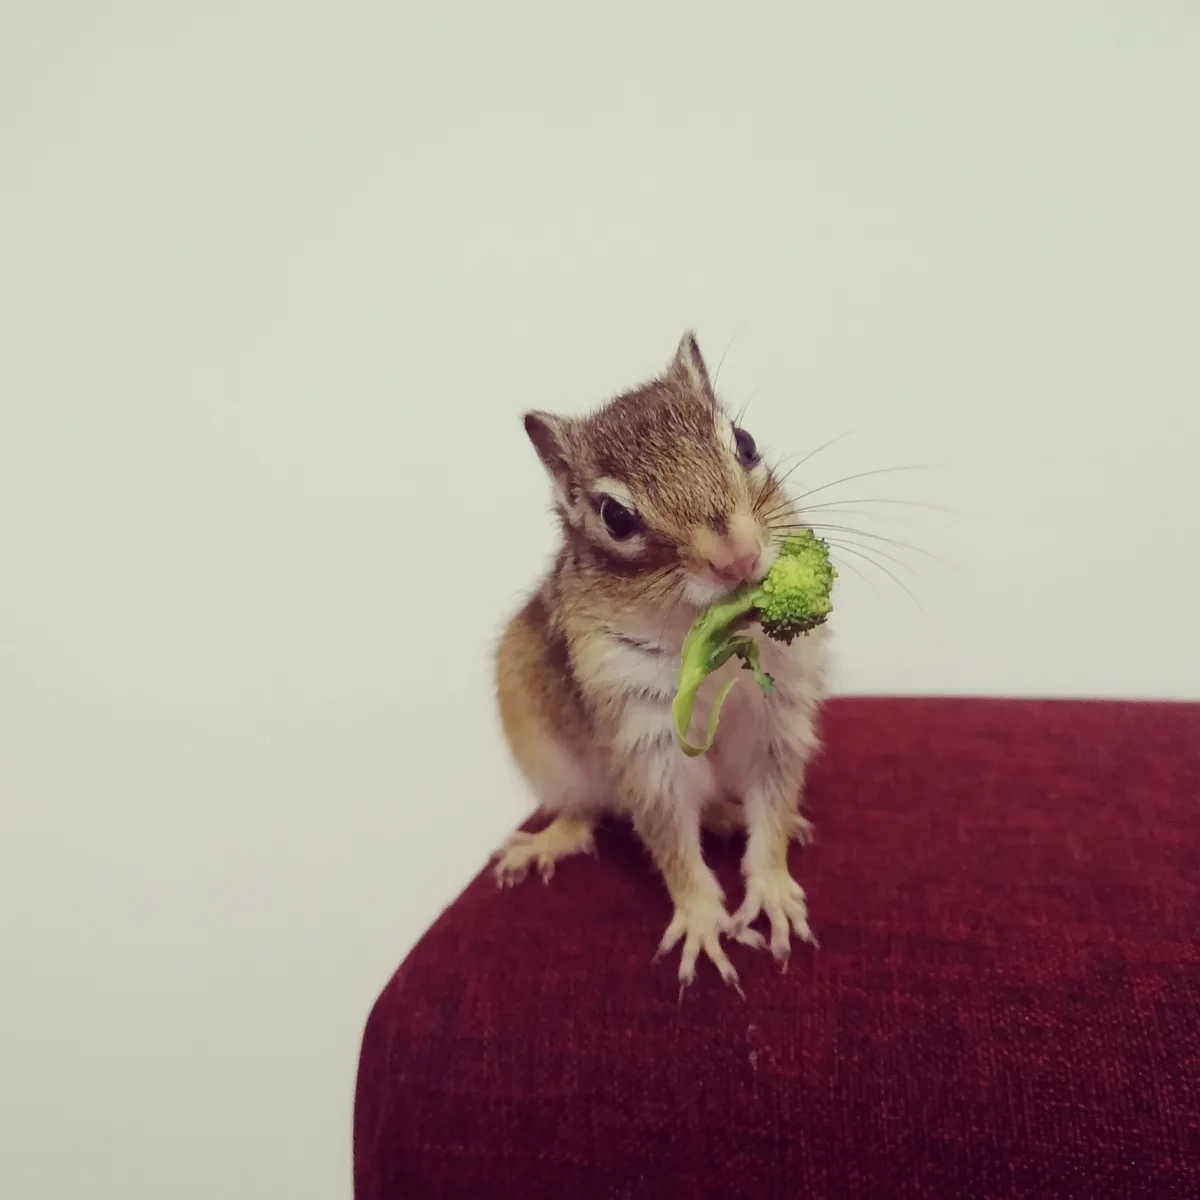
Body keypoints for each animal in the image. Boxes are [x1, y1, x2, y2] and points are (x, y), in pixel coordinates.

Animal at [493, 332, 827, 990]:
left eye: (745, 443)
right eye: (616, 517)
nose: (737, 557)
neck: (715, 641)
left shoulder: (778, 718)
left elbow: (772, 810)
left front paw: (773, 890)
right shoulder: (643, 736)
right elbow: (670, 838)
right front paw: (701, 921)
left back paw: (729, 815)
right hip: (552, 761)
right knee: (584, 810)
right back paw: (551, 840)